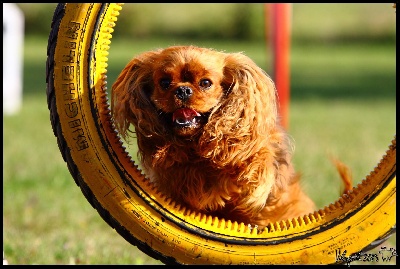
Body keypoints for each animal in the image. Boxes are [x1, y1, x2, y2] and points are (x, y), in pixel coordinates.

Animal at [111, 45, 352, 228]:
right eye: (164, 83)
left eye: (205, 83)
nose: (183, 90)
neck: (195, 148)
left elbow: (258, 162)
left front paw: (253, 191)